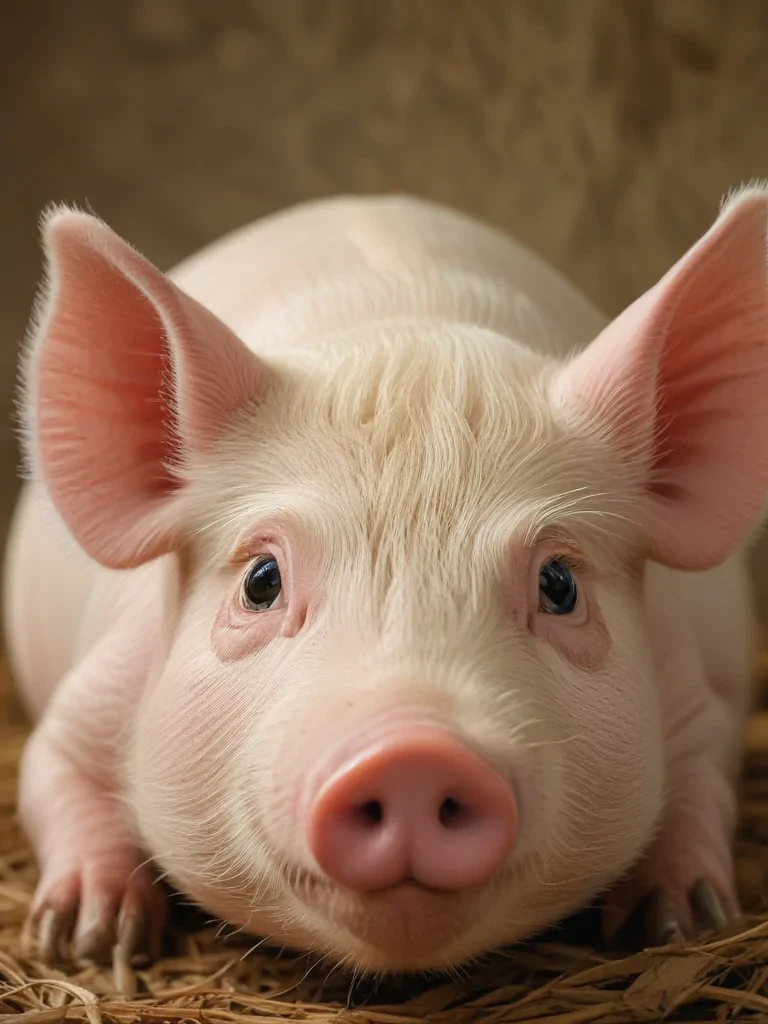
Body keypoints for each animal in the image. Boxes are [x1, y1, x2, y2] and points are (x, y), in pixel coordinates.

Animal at [3, 186, 766, 974]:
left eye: (559, 585)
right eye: (261, 581)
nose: (412, 753)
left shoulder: (691, 689)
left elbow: (703, 779)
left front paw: (681, 920)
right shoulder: (96, 692)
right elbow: (50, 767)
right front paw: (85, 939)